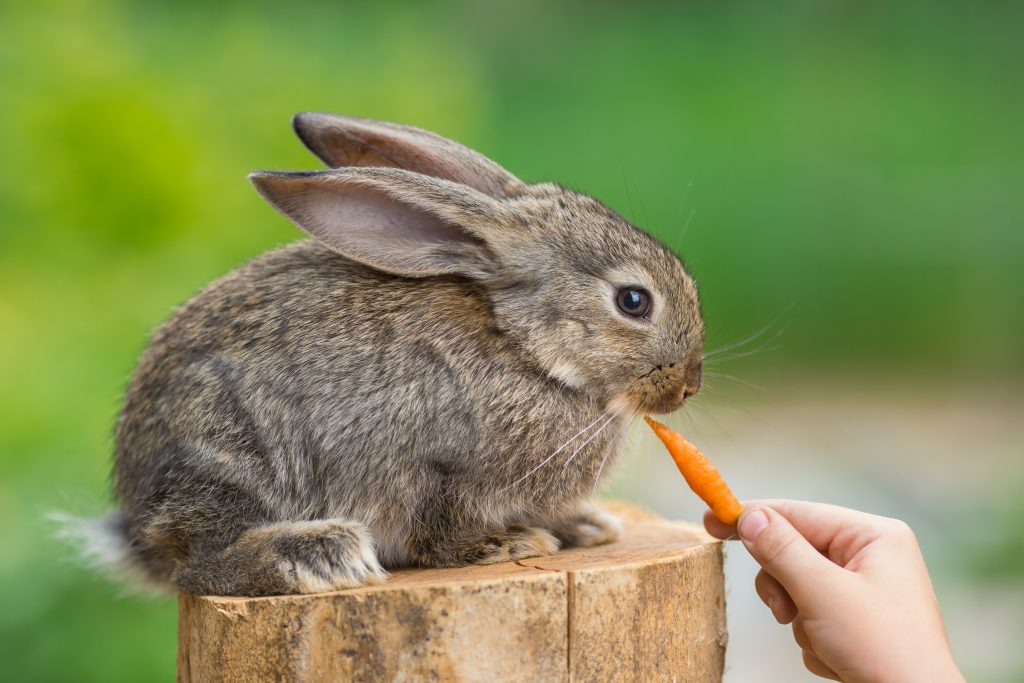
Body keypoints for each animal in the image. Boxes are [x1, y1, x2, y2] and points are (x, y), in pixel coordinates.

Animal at [88, 114, 704, 593]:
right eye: (633, 301)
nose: (688, 386)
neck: (525, 348)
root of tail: (136, 526)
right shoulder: (434, 470)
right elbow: (441, 531)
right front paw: (509, 545)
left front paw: (586, 527)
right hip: (232, 451)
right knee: (197, 565)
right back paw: (317, 555)